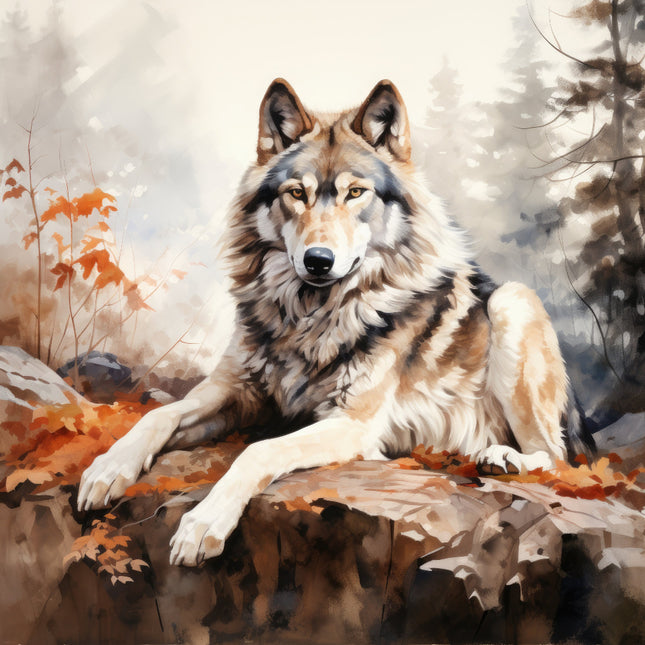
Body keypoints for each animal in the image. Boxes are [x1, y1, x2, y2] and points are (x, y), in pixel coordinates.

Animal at [78, 79, 593, 566]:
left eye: (355, 193)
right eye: (297, 194)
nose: (318, 260)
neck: (309, 317)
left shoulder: (351, 424)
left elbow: (259, 450)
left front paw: (204, 523)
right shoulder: (237, 392)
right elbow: (159, 415)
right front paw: (108, 468)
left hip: (512, 300)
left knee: (558, 459)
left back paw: (503, 458)